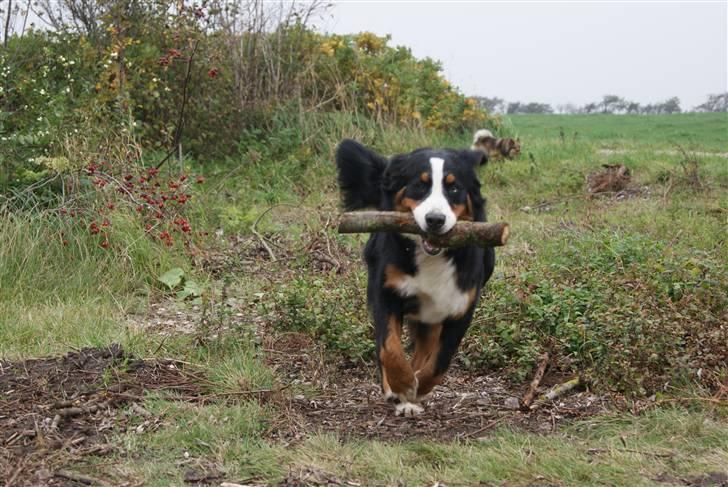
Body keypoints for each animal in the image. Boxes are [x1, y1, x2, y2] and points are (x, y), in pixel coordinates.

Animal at [336, 140, 494, 416]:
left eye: (453, 187)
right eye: (420, 185)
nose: (435, 220)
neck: (430, 256)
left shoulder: (461, 306)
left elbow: (440, 361)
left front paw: (419, 388)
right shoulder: (386, 292)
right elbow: (389, 347)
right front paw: (402, 384)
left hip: (433, 314)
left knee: (425, 350)